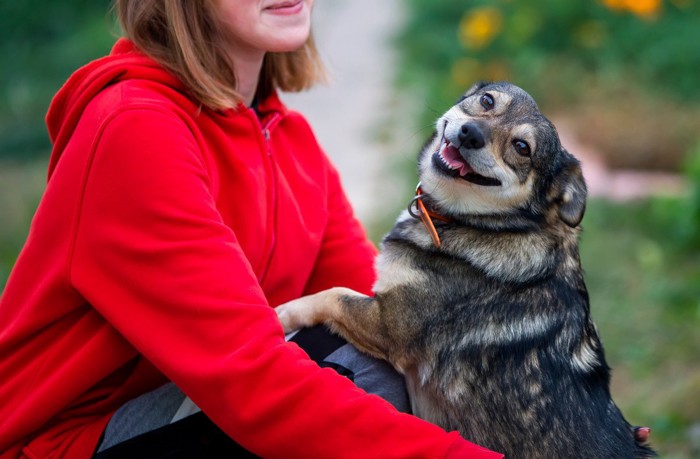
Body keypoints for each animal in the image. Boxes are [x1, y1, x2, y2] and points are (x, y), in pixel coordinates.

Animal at [276, 82, 652, 459]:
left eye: (522, 147)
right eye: (487, 101)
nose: (471, 133)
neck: (480, 224)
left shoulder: (388, 326)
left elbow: (333, 294)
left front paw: (282, 313)